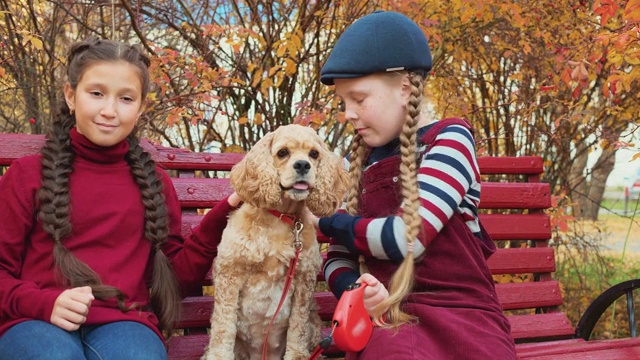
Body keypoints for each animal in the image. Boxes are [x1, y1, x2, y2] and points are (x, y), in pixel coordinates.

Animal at [202, 124, 348, 360]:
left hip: (315, 324)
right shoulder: (229, 273)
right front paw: (219, 355)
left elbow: (298, 325)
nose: (302, 165)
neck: (281, 218)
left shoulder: (303, 278)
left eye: (314, 154)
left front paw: (297, 355)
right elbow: (224, 327)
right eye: (282, 153)